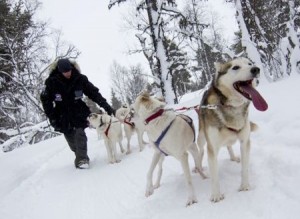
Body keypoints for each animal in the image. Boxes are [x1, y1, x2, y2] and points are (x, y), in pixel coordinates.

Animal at [198, 57, 268, 203]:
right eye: (235, 67)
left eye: (250, 64)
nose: (256, 69)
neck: (231, 106)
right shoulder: (212, 149)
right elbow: (214, 176)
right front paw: (216, 195)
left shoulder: (245, 142)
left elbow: (245, 168)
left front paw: (245, 186)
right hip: (201, 139)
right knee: (200, 152)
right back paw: (199, 168)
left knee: (229, 145)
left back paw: (233, 157)